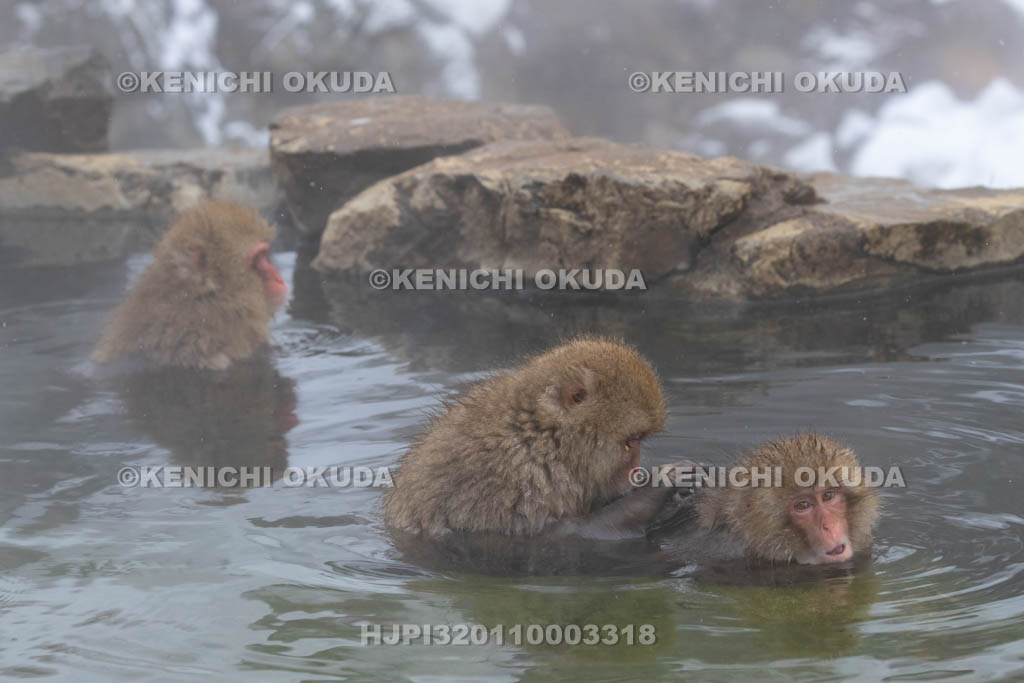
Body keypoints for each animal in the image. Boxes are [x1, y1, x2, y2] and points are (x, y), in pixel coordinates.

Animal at [383, 338, 687, 546]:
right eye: (630, 442)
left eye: (639, 442)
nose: (636, 469)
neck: (542, 438)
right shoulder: (512, 481)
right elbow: (563, 535)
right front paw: (662, 485)